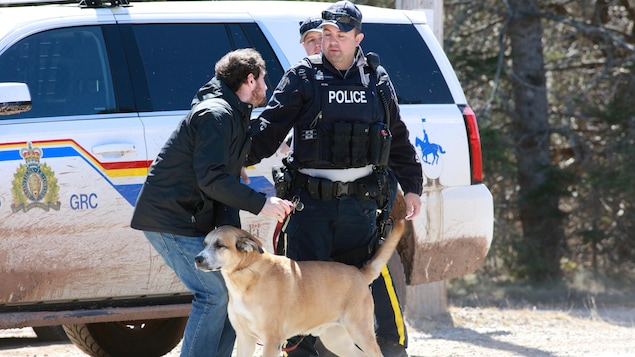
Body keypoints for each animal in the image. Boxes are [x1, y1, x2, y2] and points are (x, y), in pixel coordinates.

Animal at [194, 218, 404, 354]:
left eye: (220, 245)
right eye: (205, 243)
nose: (197, 259)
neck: (247, 273)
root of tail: (360, 272)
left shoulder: (272, 340)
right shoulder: (245, 338)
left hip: (361, 332)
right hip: (337, 339)